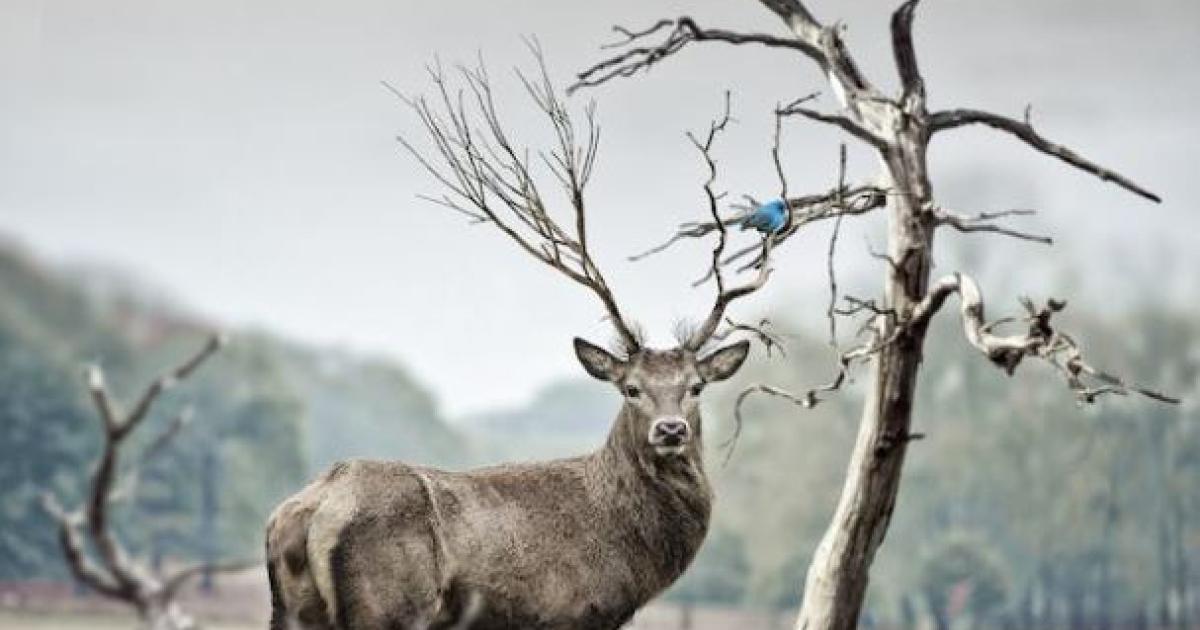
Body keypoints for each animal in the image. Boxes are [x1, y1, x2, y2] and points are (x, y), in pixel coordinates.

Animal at [265, 48, 774, 630]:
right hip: (388, 606)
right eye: (631, 388)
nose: (670, 430)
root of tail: (311, 510)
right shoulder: (573, 612)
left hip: (293, 608)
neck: (626, 551)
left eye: (695, 386)